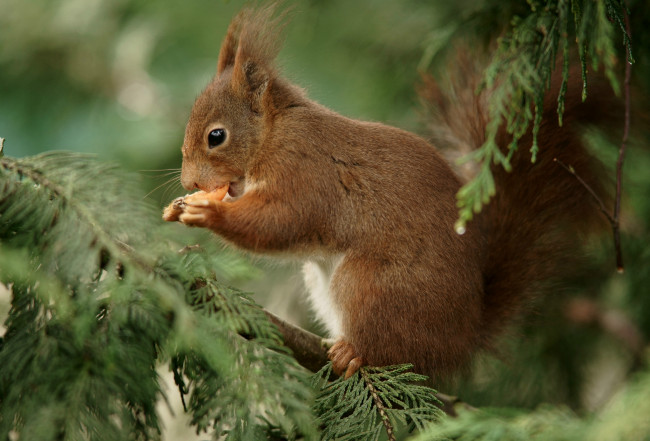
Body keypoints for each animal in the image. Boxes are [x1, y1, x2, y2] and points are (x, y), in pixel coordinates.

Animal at [165, 5, 616, 380]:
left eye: (216, 136)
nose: (189, 183)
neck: (273, 134)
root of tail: (464, 337)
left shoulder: (304, 172)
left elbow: (279, 222)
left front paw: (207, 213)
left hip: (370, 285)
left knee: (395, 350)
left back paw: (354, 352)